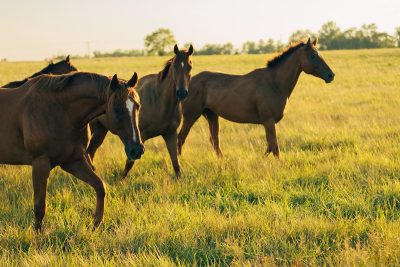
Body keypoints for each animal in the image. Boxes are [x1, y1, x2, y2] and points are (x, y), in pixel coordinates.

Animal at [0, 71, 144, 230]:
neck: (60, 112)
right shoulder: (40, 163)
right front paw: (38, 235)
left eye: (137, 106)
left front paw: (96, 224)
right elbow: (39, 207)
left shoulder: (73, 161)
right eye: (117, 109)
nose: (137, 149)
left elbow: (100, 187)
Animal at [87, 44, 194, 179]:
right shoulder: (140, 137)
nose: (181, 92)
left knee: (90, 151)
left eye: (190, 66)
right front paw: (120, 180)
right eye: (175, 66)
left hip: (101, 130)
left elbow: (176, 164)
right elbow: (129, 163)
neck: (159, 100)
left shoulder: (170, 134)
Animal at [178, 38, 334, 158]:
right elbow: (275, 148)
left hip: (212, 115)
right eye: (313, 56)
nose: (331, 75)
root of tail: (185, 86)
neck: (275, 83)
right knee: (180, 138)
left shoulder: (269, 123)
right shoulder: (269, 121)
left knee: (214, 140)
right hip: (191, 116)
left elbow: (270, 147)